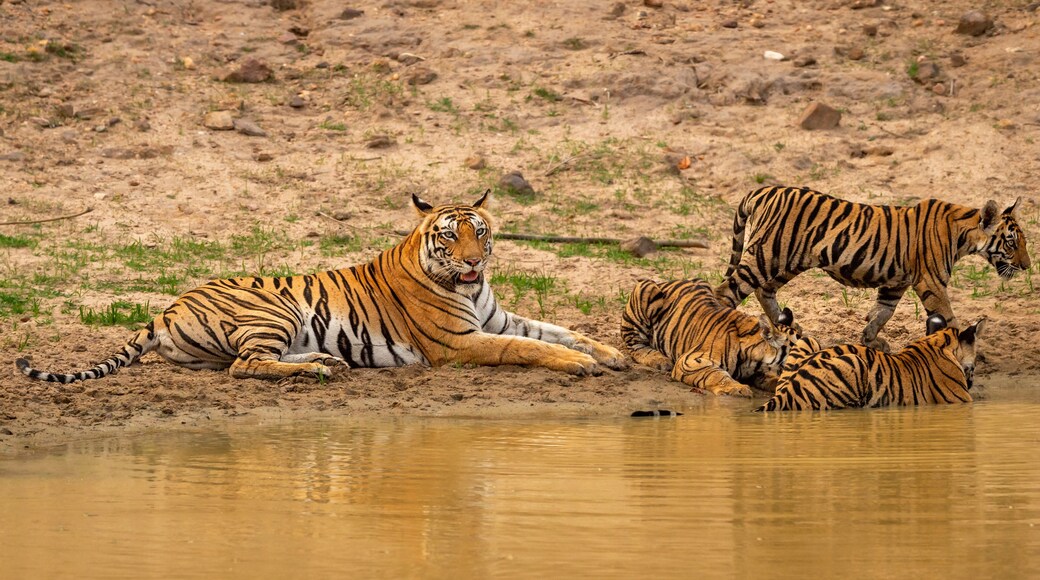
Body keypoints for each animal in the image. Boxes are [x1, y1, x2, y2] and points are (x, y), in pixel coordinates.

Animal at [15, 191, 629, 383]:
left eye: (479, 233)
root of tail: (166, 308)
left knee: (245, 361)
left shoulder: (498, 317)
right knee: (245, 367)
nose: (474, 263)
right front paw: (580, 365)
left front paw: (612, 354)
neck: (470, 289)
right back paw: (314, 371)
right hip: (275, 308)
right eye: (449, 238)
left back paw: (326, 363)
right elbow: (527, 347)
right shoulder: (461, 341)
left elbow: (560, 330)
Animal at [621, 278, 804, 397]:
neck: (755, 360)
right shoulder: (690, 361)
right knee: (634, 345)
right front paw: (737, 388)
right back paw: (659, 360)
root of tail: (667, 281)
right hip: (646, 290)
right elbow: (716, 374)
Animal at [714, 185, 1028, 351]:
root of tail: (764, 189)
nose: (1026, 266)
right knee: (725, 292)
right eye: (1012, 242)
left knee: (763, 291)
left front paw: (871, 340)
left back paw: (793, 328)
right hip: (765, 256)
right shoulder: (931, 282)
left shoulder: (896, 283)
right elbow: (949, 319)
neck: (964, 234)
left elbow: (883, 312)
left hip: (786, 262)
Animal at [756, 314, 984, 412]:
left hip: (808, 340)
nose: (972, 382)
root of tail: (785, 392)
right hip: (854, 362)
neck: (938, 341)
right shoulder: (961, 399)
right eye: (974, 365)